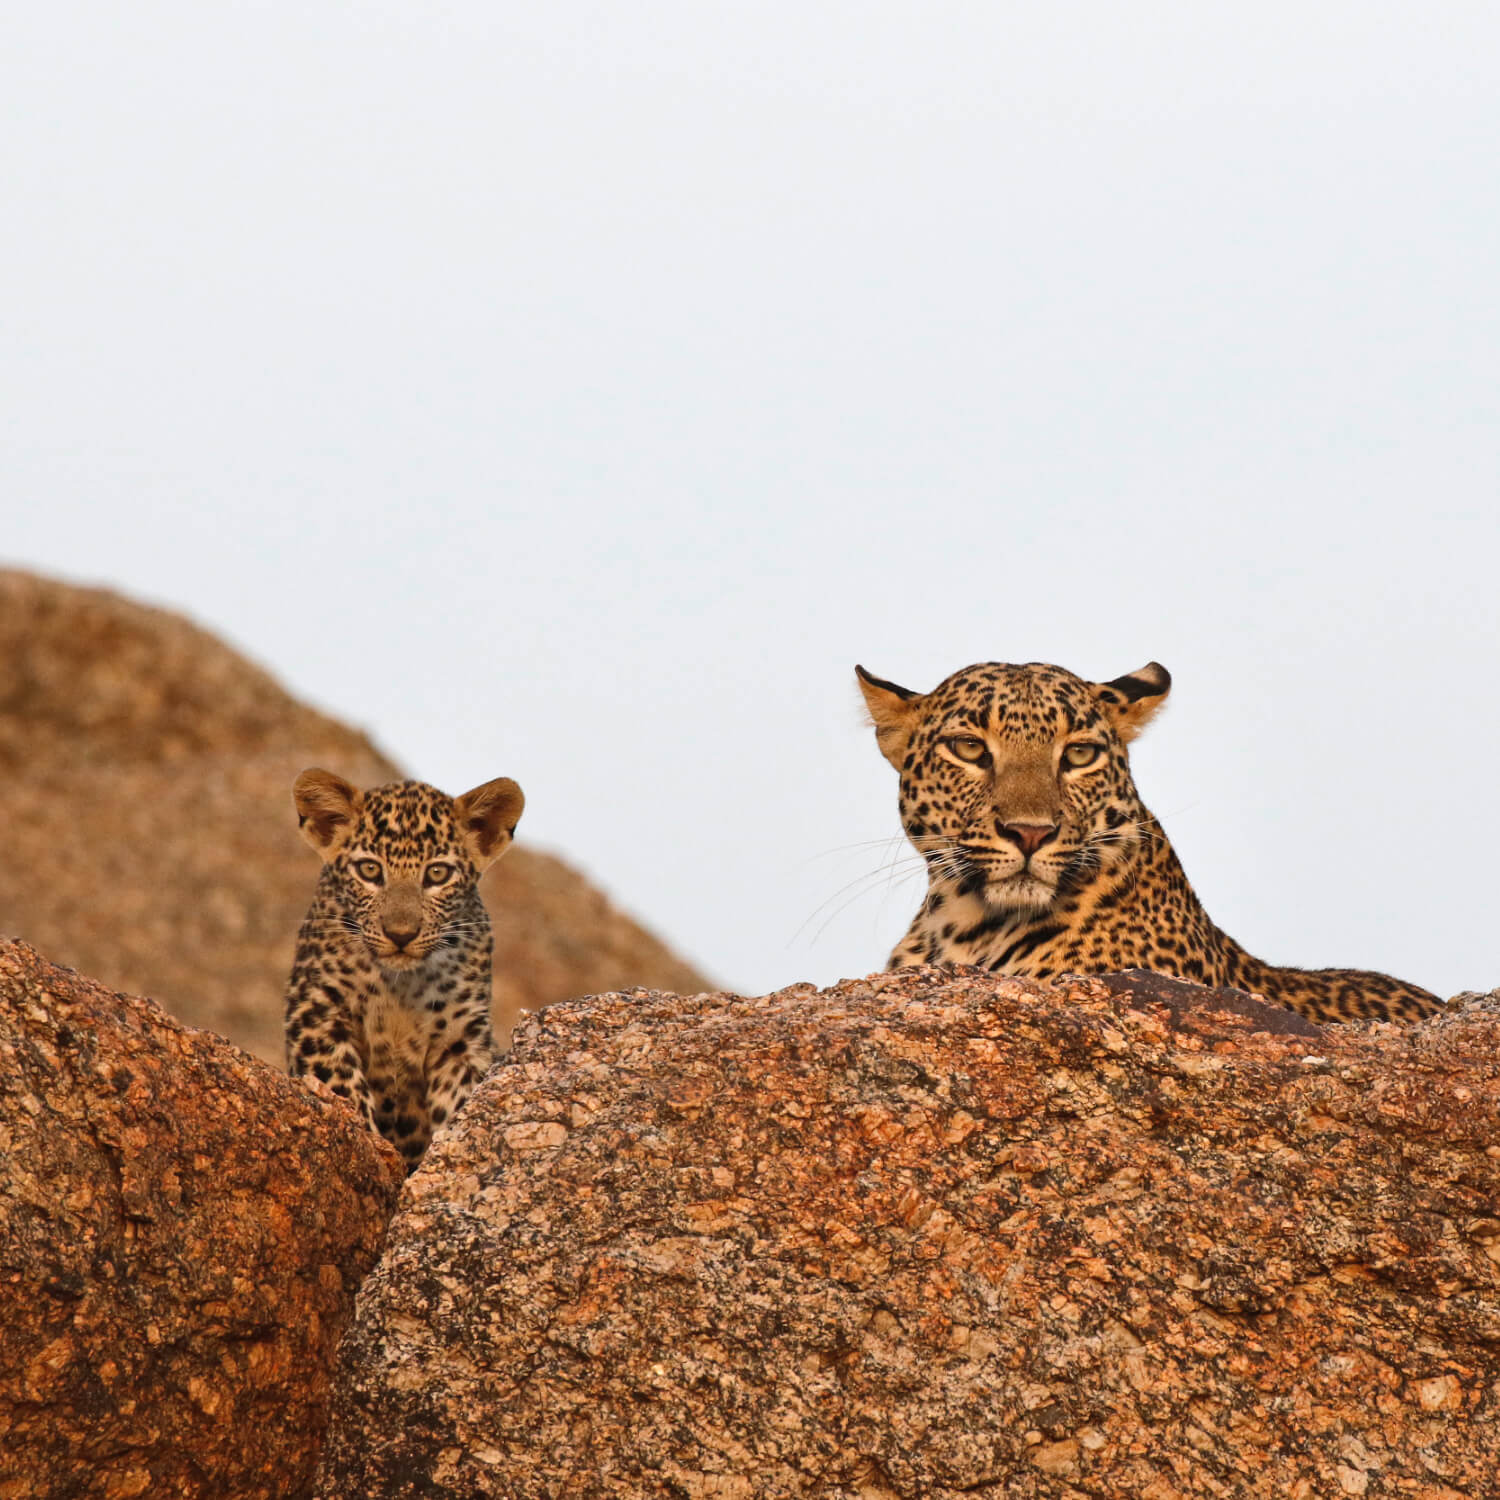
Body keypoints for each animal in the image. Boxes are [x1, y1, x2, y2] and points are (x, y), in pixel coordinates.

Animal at [283, 774, 525, 1170]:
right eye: (369, 870)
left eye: (437, 873)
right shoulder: (317, 1011)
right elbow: (340, 1082)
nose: (400, 934)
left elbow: (462, 1100)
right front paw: (367, 1144)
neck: (399, 986)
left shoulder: (461, 1039)